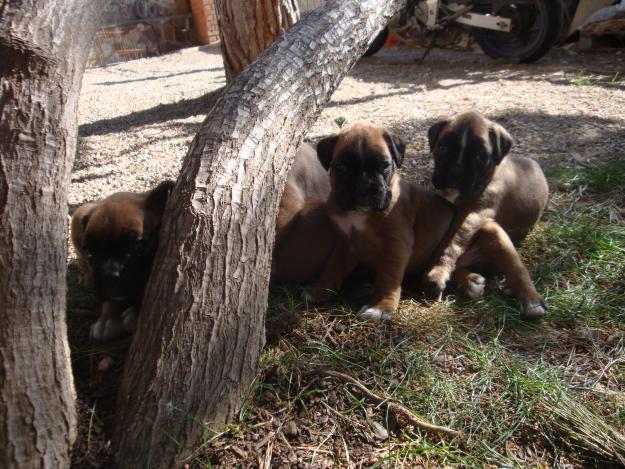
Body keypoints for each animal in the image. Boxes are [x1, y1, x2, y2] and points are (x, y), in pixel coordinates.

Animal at [71, 179, 176, 340]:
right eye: (89, 251)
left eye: (139, 245)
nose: (107, 275)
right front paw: (108, 317)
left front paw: (135, 313)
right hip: (78, 214)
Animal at [424, 112, 544, 318]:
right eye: (443, 148)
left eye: (481, 156)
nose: (456, 172)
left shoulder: (473, 214)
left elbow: (450, 243)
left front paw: (438, 271)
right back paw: (471, 281)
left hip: (495, 232)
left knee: (517, 269)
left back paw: (531, 301)